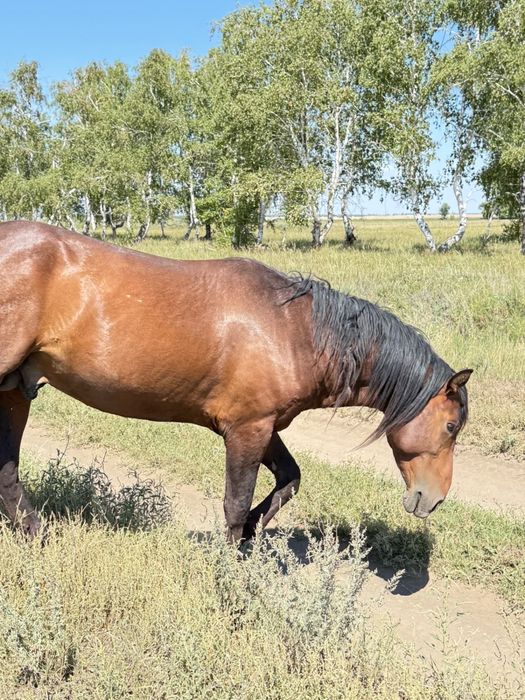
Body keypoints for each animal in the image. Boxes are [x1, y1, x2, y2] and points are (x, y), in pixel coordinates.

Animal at [0, 221, 472, 541]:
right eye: (451, 426)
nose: (433, 499)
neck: (296, 329)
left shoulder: (264, 425)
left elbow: (289, 479)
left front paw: (250, 532)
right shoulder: (247, 429)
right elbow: (235, 501)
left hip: (15, 389)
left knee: (8, 472)